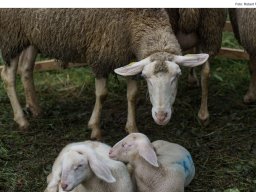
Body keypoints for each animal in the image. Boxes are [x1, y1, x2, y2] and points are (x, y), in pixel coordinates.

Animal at [0, 8, 208, 140]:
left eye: (177, 77)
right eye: (147, 78)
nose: (162, 116)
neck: (138, 19)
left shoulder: (128, 56)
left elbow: (132, 95)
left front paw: (132, 128)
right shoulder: (100, 56)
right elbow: (102, 94)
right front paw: (95, 129)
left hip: (29, 35)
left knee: (26, 69)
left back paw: (35, 108)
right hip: (11, 34)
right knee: (8, 75)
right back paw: (22, 120)